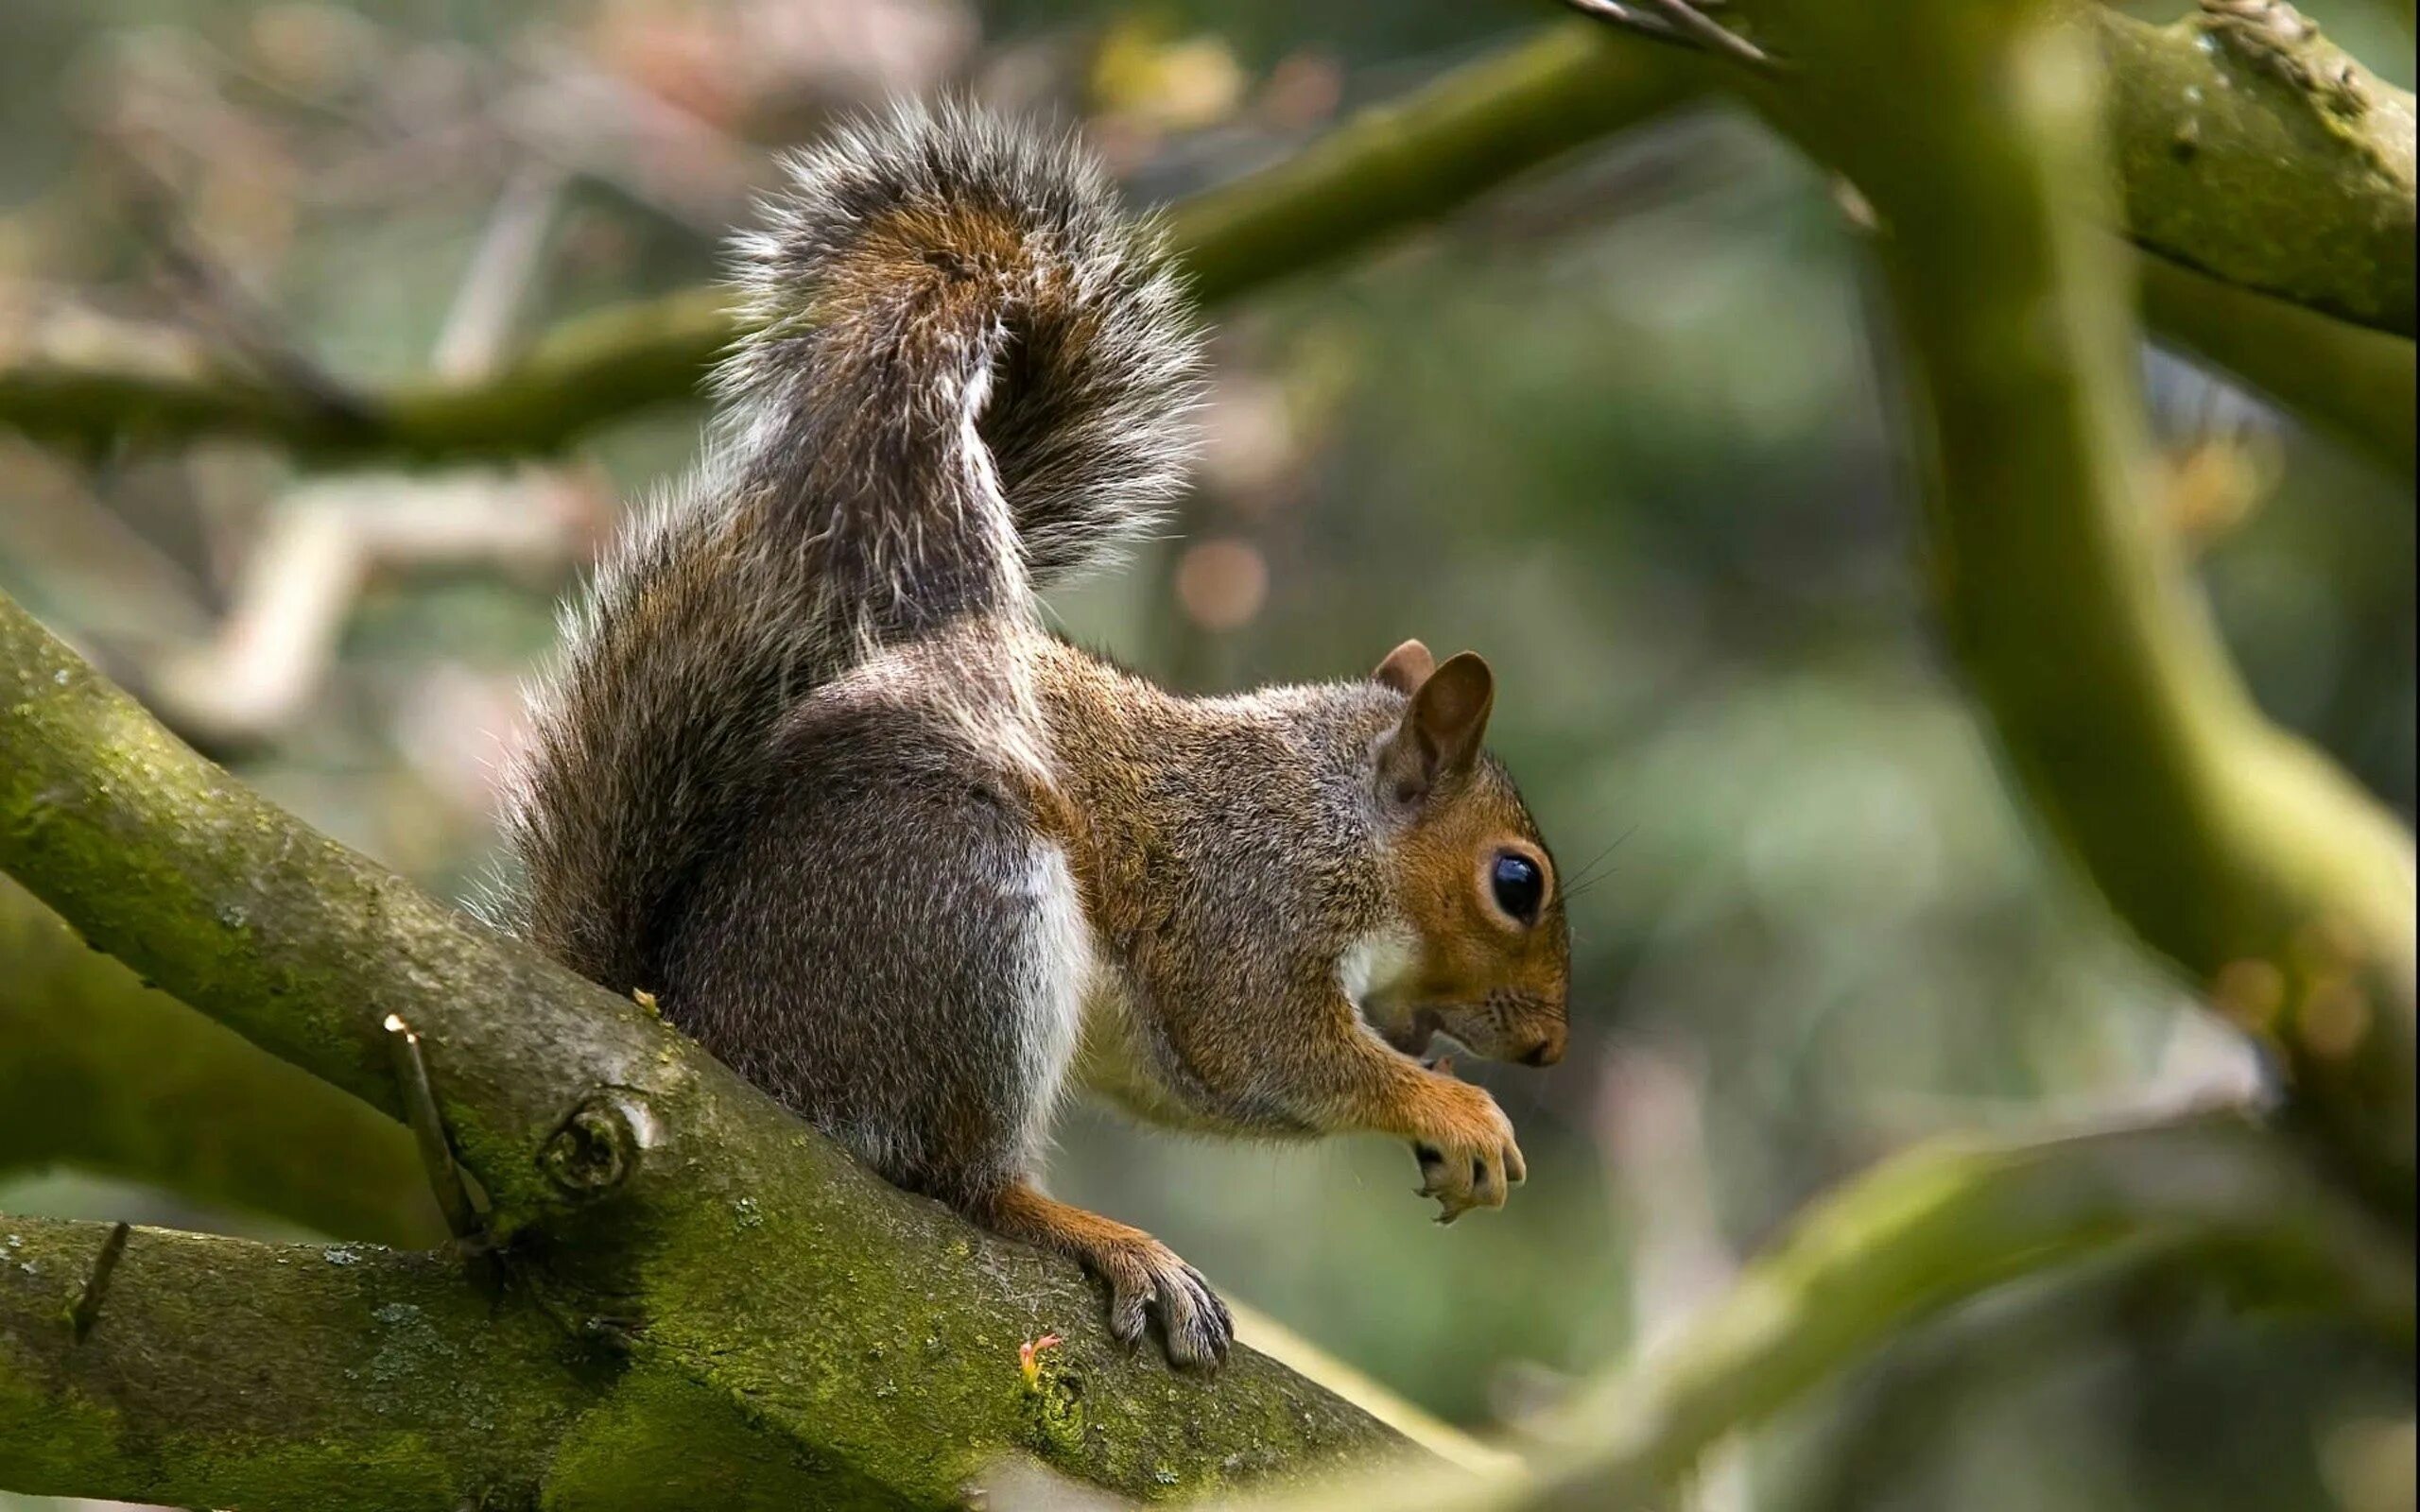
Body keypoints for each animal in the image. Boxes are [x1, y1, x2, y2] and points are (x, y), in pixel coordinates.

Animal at [500, 100, 1578, 1364]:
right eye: (1516, 882)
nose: (1549, 1049)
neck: (1331, 815)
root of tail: (695, 1025)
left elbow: (1215, 1082)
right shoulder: (1248, 912)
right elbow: (1269, 1051)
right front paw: (1454, 1104)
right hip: (967, 912)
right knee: (957, 1179)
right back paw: (1092, 1231)